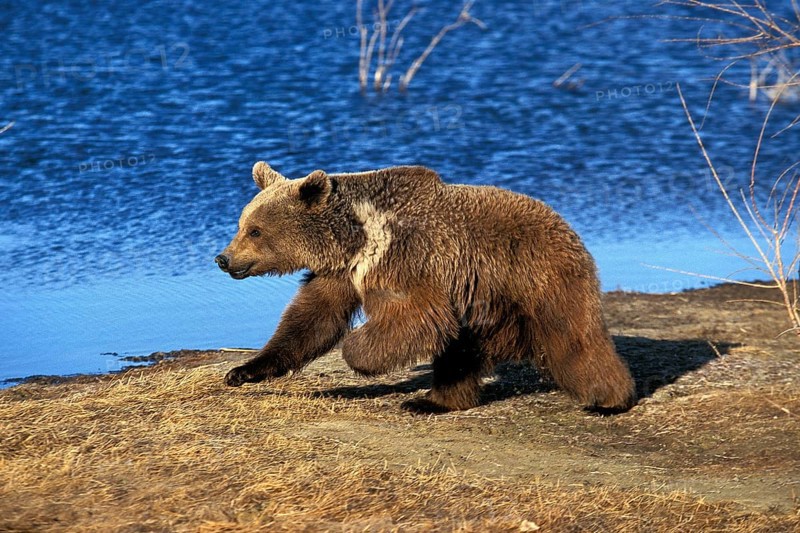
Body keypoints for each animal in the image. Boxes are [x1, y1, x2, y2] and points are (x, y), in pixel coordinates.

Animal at [215, 161, 636, 413]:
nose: (223, 258)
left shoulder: (406, 259)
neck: (356, 237)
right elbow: (310, 321)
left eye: (255, 230)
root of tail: (567, 225)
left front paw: (359, 352)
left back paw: (608, 399)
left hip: (537, 278)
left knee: (573, 339)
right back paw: (433, 401)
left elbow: (417, 317)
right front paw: (244, 371)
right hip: (482, 304)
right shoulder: (341, 274)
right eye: (242, 224)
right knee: (460, 353)